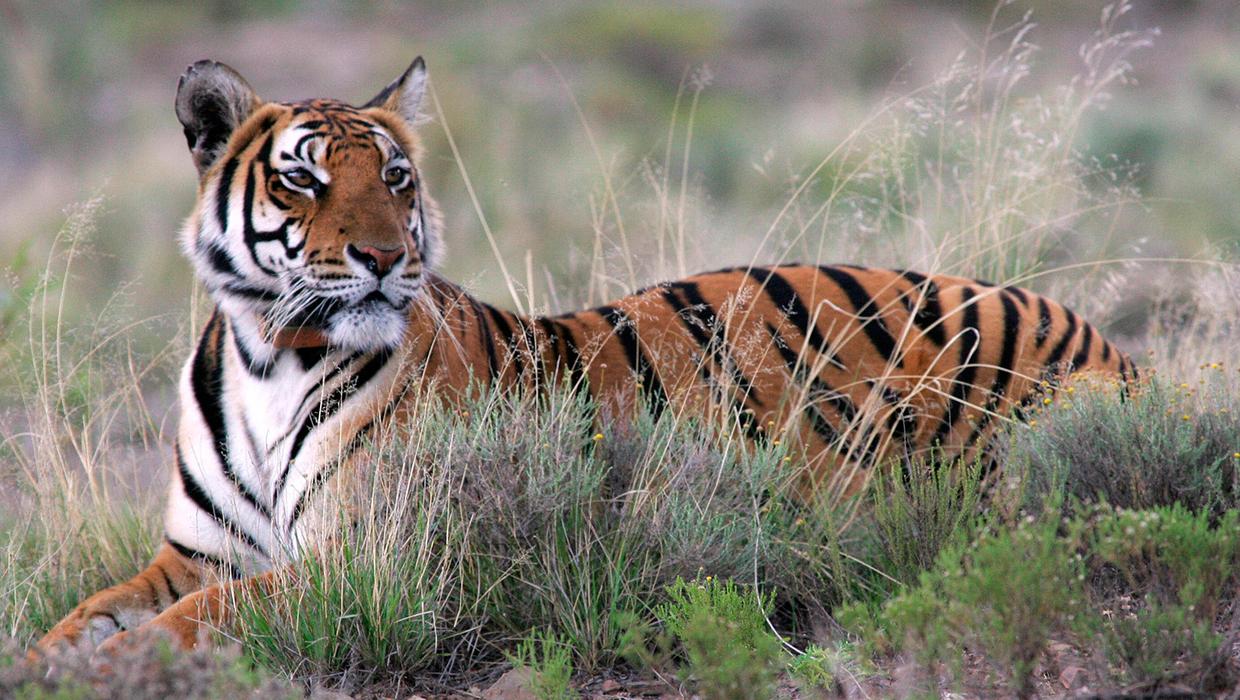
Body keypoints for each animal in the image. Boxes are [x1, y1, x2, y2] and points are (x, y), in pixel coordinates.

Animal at [33, 57, 1135, 654]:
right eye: (302, 180)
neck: (272, 353)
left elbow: (201, 616)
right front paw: (52, 655)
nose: (386, 257)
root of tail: (1092, 331)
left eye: (395, 177)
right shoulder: (194, 552)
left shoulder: (371, 557)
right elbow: (96, 609)